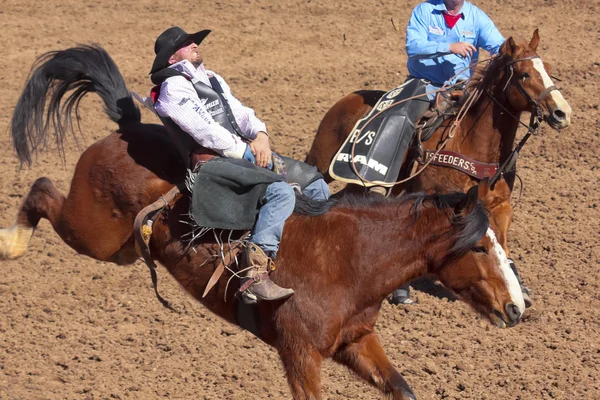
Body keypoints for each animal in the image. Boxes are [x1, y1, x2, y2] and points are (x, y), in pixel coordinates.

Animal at [0, 45, 524, 398]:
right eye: (481, 247)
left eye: (501, 242)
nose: (518, 308)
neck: (352, 258)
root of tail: (126, 129)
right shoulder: (300, 354)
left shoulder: (357, 340)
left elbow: (402, 387)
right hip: (93, 233)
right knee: (42, 188)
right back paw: (13, 243)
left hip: (123, 249)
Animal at [304, 31, 572, 304]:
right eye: (524, 74)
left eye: (548, 69)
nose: (562, 113)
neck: (470, 141)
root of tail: (347, 99)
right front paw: (402, 290)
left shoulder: (501, 206)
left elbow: (502, 244)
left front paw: (517, 287)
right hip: (321, 163)